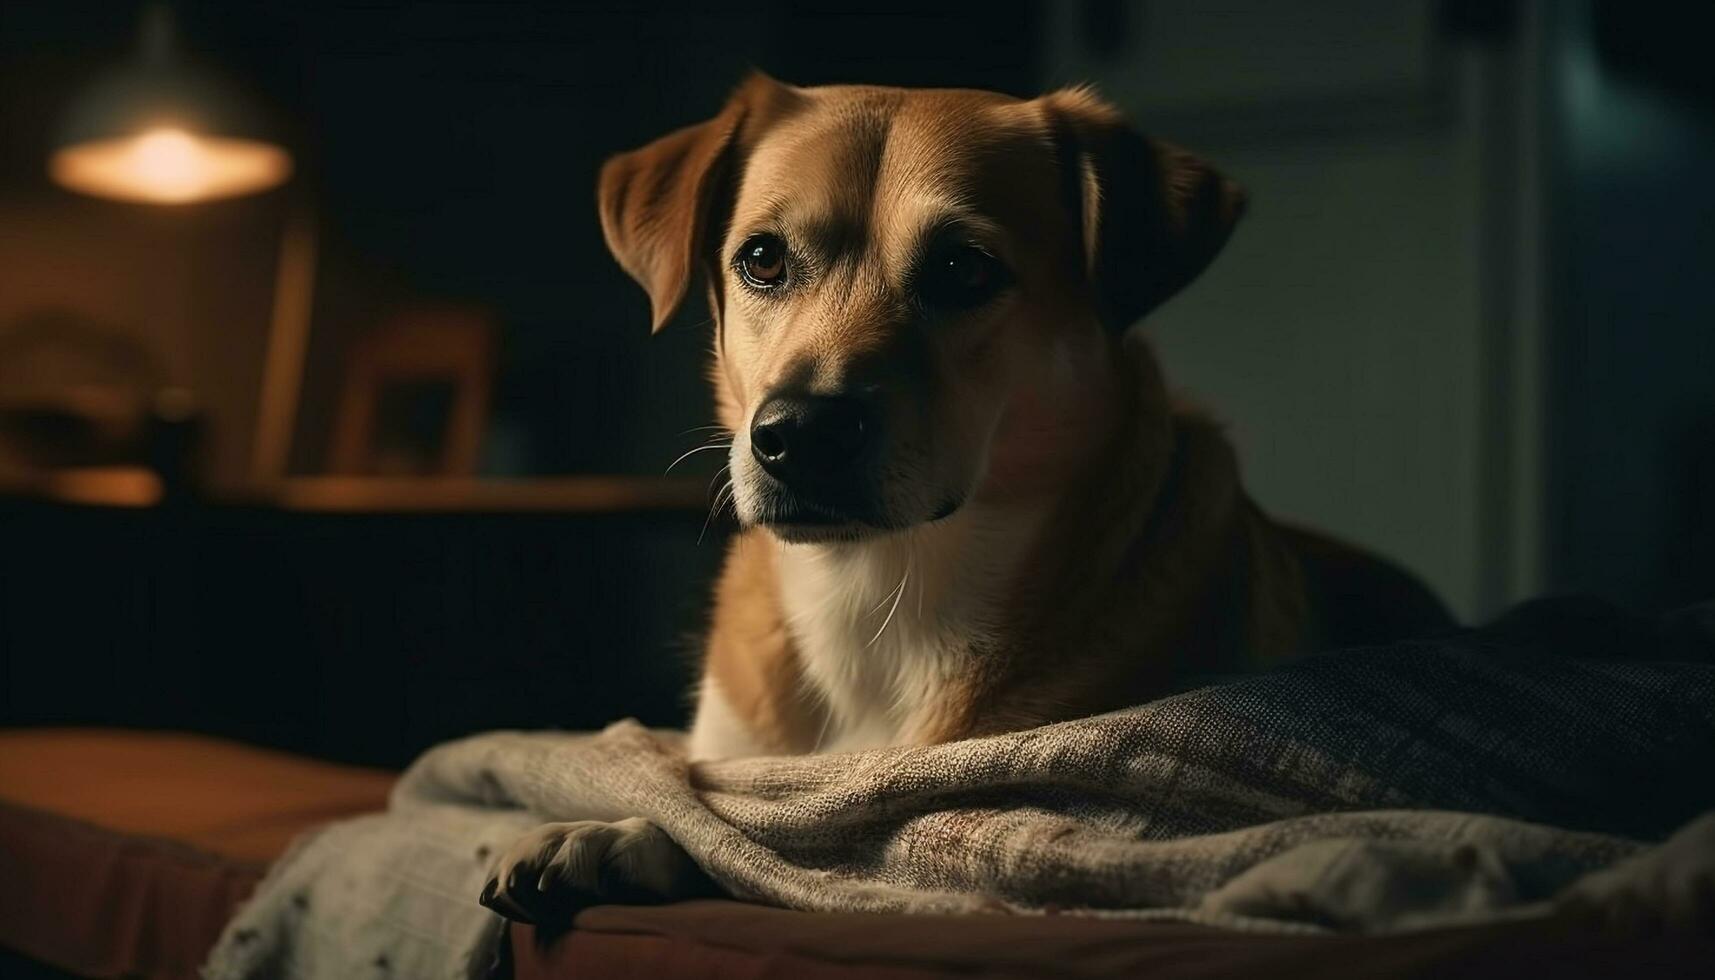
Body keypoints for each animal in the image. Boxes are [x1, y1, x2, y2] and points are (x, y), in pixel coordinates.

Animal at [480, 74, 1447, 919]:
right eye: (761, 259)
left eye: (962, 269)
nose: (797, 433)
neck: (875, 591)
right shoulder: (735, 755)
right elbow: (706, 807)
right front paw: (609, 832)